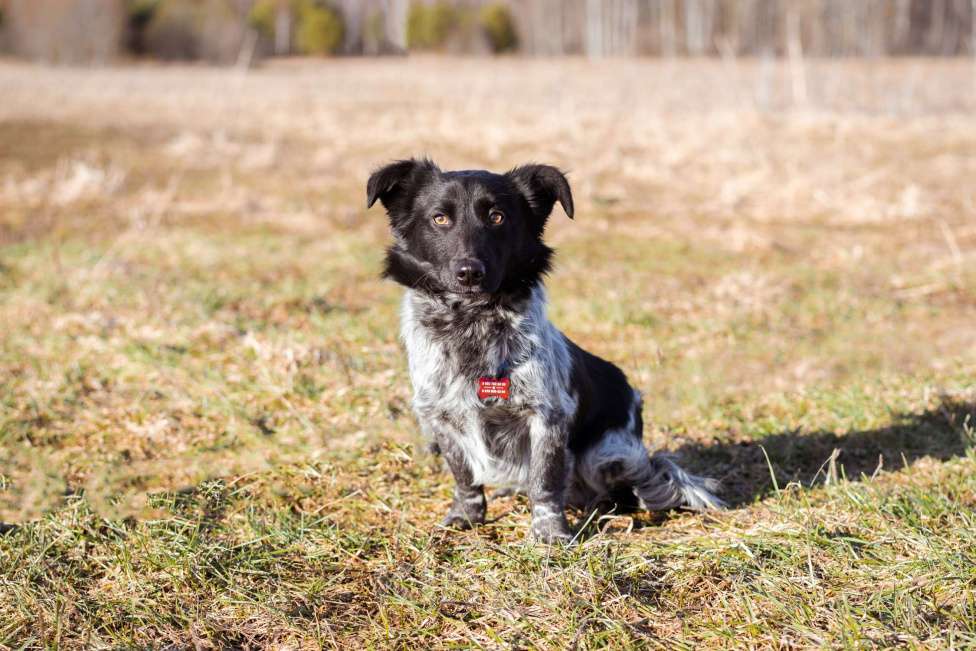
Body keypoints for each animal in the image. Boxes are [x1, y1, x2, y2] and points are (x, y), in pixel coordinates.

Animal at [368, 159, 724, 544]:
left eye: (497, 217)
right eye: (439, 218)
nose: (469, 272)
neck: (472, 323)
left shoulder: (548, 415)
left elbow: (545, 481)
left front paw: (550, 533)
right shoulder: (439, 416)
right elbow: (464, 476)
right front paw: (466, 517)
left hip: (608, 454)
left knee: (622, 490)